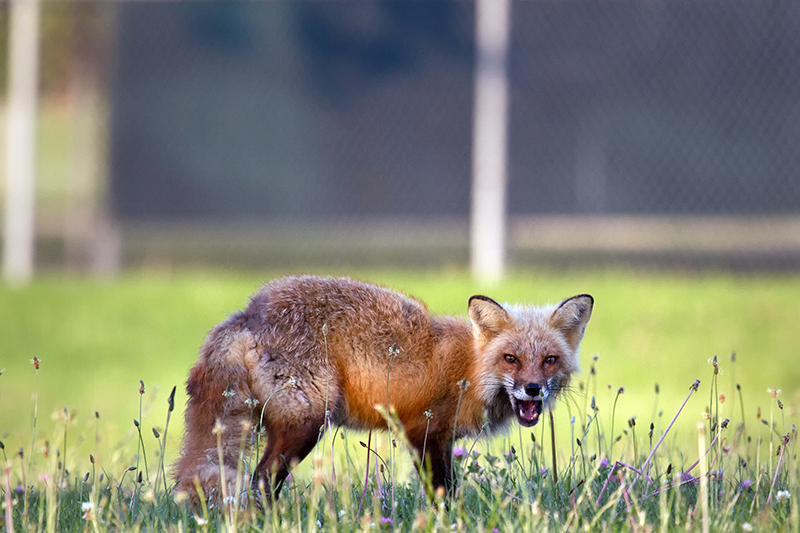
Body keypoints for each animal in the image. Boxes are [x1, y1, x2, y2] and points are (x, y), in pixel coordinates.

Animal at [172, 276, 592, 500]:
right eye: (511, 359)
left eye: (549, 360)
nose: (533, 389)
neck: (468, 368)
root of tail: (249, 311)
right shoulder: (423, 432)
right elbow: (442, 493)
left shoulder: (439, 438)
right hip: (305, 425)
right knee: (260, 482)